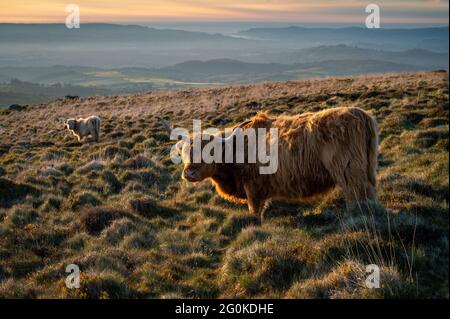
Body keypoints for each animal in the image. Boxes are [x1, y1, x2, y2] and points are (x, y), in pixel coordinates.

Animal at [163, 107, 378, 222]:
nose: (189, 173)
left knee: (358, 196)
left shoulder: (253, 188)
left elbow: (255, 211)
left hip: (350, 173)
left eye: (210, 151)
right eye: (184, 152)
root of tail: (362, 115)